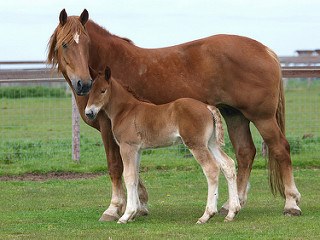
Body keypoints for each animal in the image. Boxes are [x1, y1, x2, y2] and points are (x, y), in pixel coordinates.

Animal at [85, 67, 240, 223]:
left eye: (103, 90)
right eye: (90, 91)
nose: (89, 112)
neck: (126, 111)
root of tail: (207, 107)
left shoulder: (127, 147)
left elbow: (129, 176)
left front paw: (126, 215)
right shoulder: (137, 150)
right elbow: (135, 176)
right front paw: (133, 214)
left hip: (196, 144)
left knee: (211, 168)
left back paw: (207, 215)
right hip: (211, 143)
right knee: (228, 164)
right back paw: (232, 212)